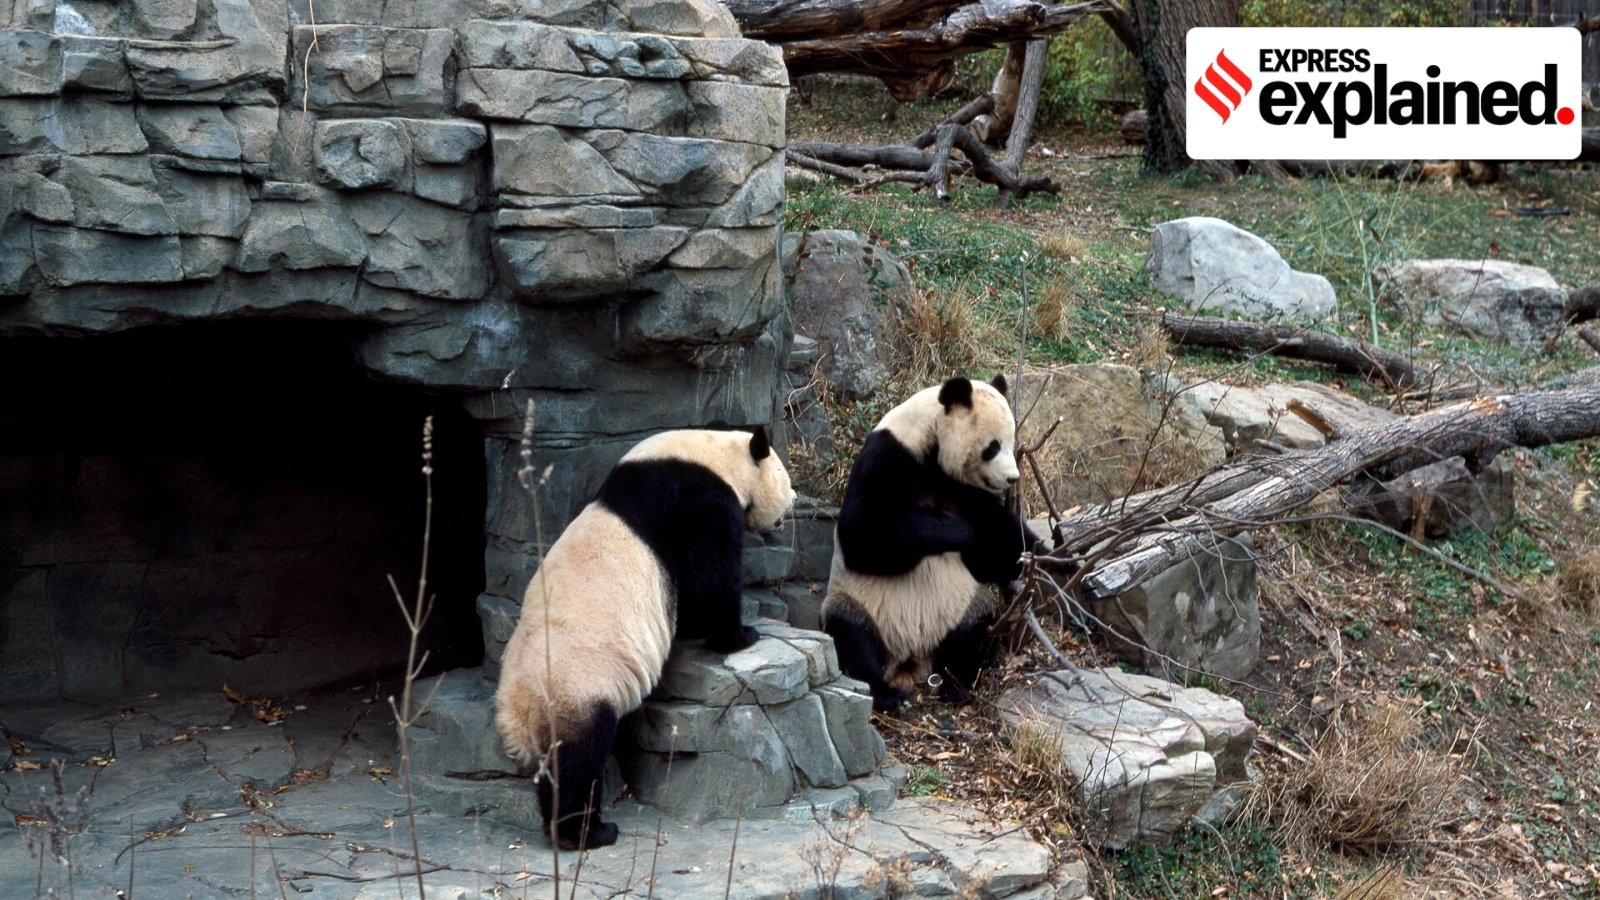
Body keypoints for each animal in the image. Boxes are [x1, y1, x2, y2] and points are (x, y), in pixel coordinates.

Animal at [494, 426, 795, 851]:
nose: (795, 500)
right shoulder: (693, 502)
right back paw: (588, 832)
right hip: (576, 688)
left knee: (551, 772)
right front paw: (742, 635)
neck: (710, 454)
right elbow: (709, 579)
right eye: (784, 473)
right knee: (578, 760)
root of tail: (517, 711)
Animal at [821, 375, 1036, 710]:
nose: (1012, 478)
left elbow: (998, 545)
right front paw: (957, 530)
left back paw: (955, 684)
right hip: (861, 605)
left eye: (1012, 443)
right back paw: (885, 693)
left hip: (961, 609)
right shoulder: (888, 458)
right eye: (993, 447)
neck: (931, 442)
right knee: (849, 636)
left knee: (972, 630)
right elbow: (863, 534)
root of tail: (911, 660)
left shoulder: (968, 492)